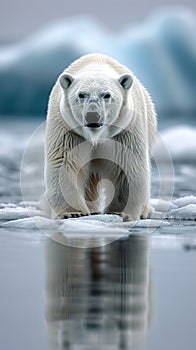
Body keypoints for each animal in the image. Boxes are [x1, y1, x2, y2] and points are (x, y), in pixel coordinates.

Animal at [43, 53, 157, 220]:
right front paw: (72, 212)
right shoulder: (68, 129)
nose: (92, 116)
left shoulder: (124, 130)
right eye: (81, 95)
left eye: (107, 95)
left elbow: (127, 164)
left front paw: (120, 212)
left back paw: (145, 211)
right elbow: (65, 162)